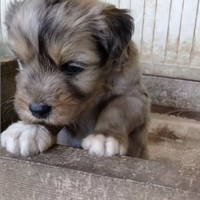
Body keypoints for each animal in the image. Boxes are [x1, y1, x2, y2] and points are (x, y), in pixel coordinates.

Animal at [0, 0, 150, 158]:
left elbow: (117, 109)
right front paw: (30, 128)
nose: (37, 109)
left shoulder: (134, 96)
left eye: (72, 67)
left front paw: (105, 135)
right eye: (21, 62)